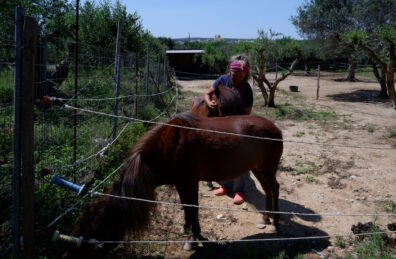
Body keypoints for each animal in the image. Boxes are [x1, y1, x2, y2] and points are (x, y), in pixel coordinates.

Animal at [64, 114, 282, 258]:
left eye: (94, 227)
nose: (68, 254)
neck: (166, 149)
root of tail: (274, 128)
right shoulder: (180, 183)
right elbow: (187, 208)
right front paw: (189, 231)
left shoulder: (189, 182)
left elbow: (193, 208)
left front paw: (193, 238)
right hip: (258, 168)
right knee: (267, 189)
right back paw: (266, 218)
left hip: (267, 168)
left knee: (274, 188)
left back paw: (276, 223)